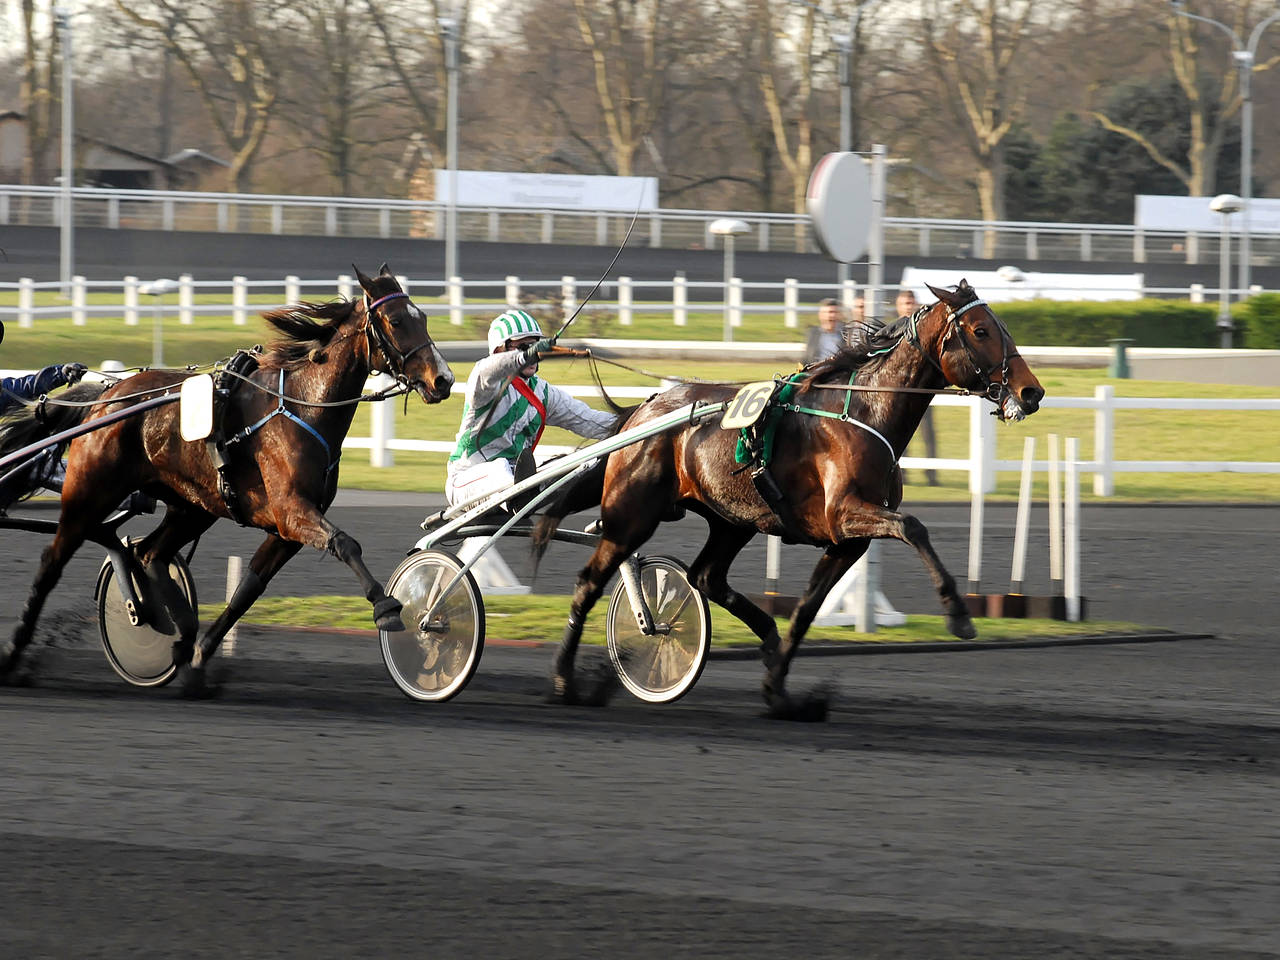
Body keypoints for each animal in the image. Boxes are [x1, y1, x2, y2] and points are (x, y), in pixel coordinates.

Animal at [1, 267, 455, 696]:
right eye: (396, 320)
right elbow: (346, 543)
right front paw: (385, 606)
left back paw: (176, 629)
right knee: (53, 562)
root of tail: (106, 398)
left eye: (424, 316)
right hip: (89, 495)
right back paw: (15, 653)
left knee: (149, 554)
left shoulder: (286, 530)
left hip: (192, 506)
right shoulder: (292, 512)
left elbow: (247, 592)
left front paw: (199, 659)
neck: (302, 408)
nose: (444, 380)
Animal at [535, 281, 1044, 716]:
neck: (864, 411)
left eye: (1003, 327)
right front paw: (958, 614)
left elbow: (805, 612)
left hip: (732, 519)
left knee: (706, 577)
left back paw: (765, 634)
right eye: (980, 330)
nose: (1031, 391)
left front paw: (779, 690)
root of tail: (645, 409)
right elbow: (913, 526)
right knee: (589, 582)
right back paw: (564, 683)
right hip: (632, 516)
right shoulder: (844, 515)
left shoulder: (846, 541)